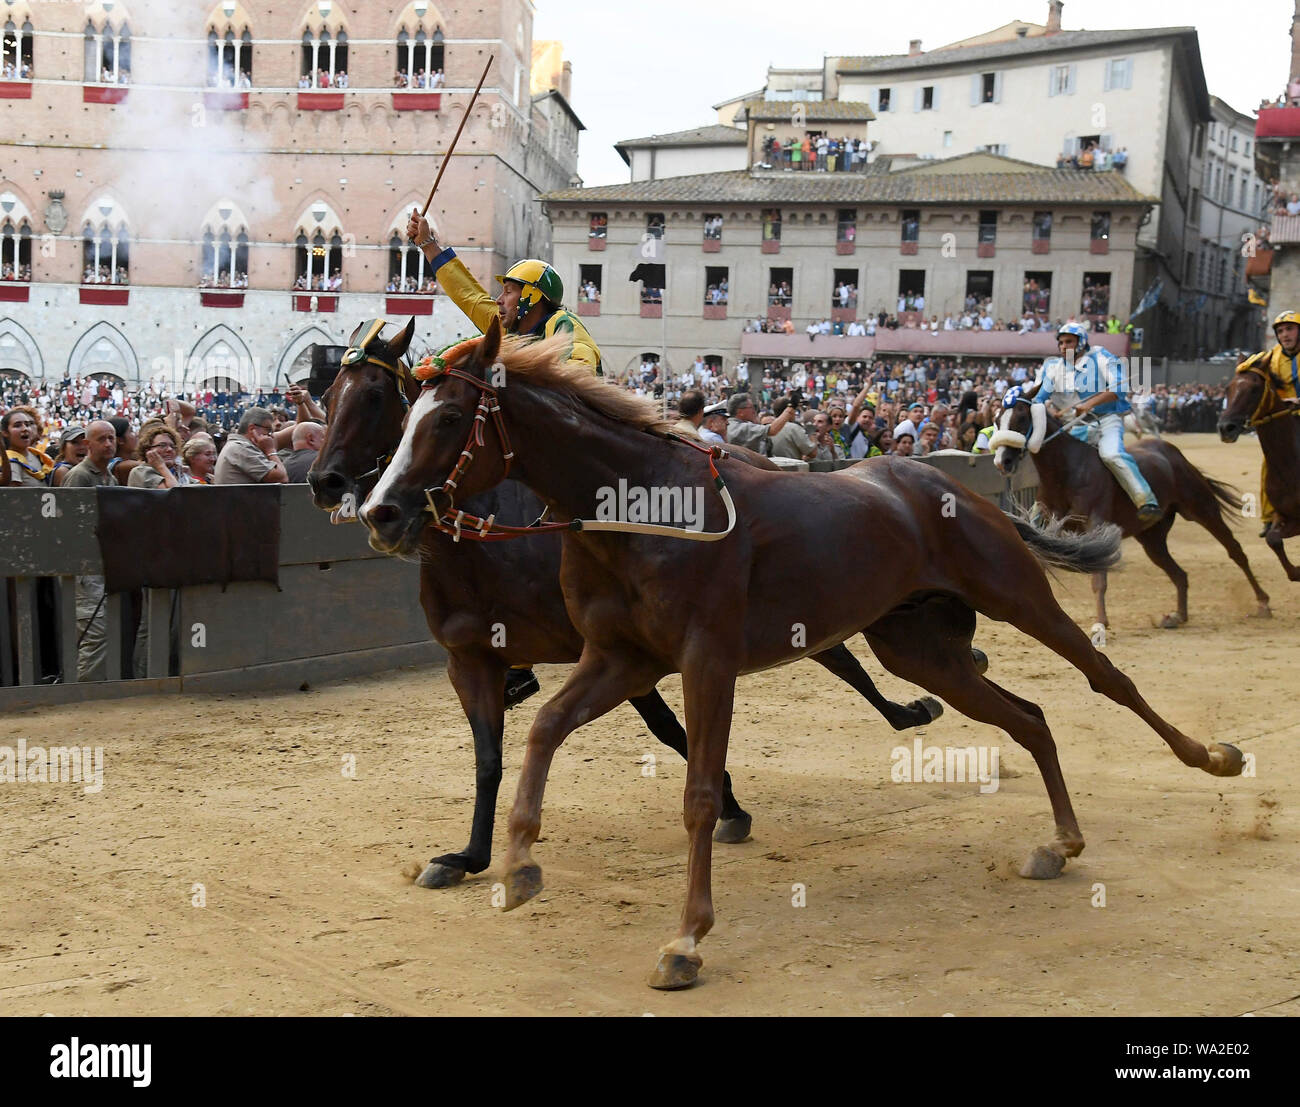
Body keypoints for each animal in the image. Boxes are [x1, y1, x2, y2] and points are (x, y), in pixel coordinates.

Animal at [309, 315, 951, 888]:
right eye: (327, 394)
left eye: (377, 397)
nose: (329, 484)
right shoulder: (472, 661)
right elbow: (489, 759)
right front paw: (468, 856)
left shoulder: (625, 654)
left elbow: (673, 732)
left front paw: (730, 805)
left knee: (844, 661)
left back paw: (912, 709)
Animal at [993, 381, 1268, 626]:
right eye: (997, 420)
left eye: (1021, 417)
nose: (1002, 461)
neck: (1066, 471)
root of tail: (1172, 453)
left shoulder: (1096, 524)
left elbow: (1099, 580)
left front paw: (1101, 622)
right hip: (1152, 538)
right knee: (1179, 573)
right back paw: (1178, 615)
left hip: (1202, 508)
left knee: (1235, 551)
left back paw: (1263, 602)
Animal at [1216, 358, 1300, 584]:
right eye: (1228, 388)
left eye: (1254, 389)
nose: (1226, 427)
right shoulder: (1286, 515)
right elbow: (1273, 539)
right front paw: (1296, 572)